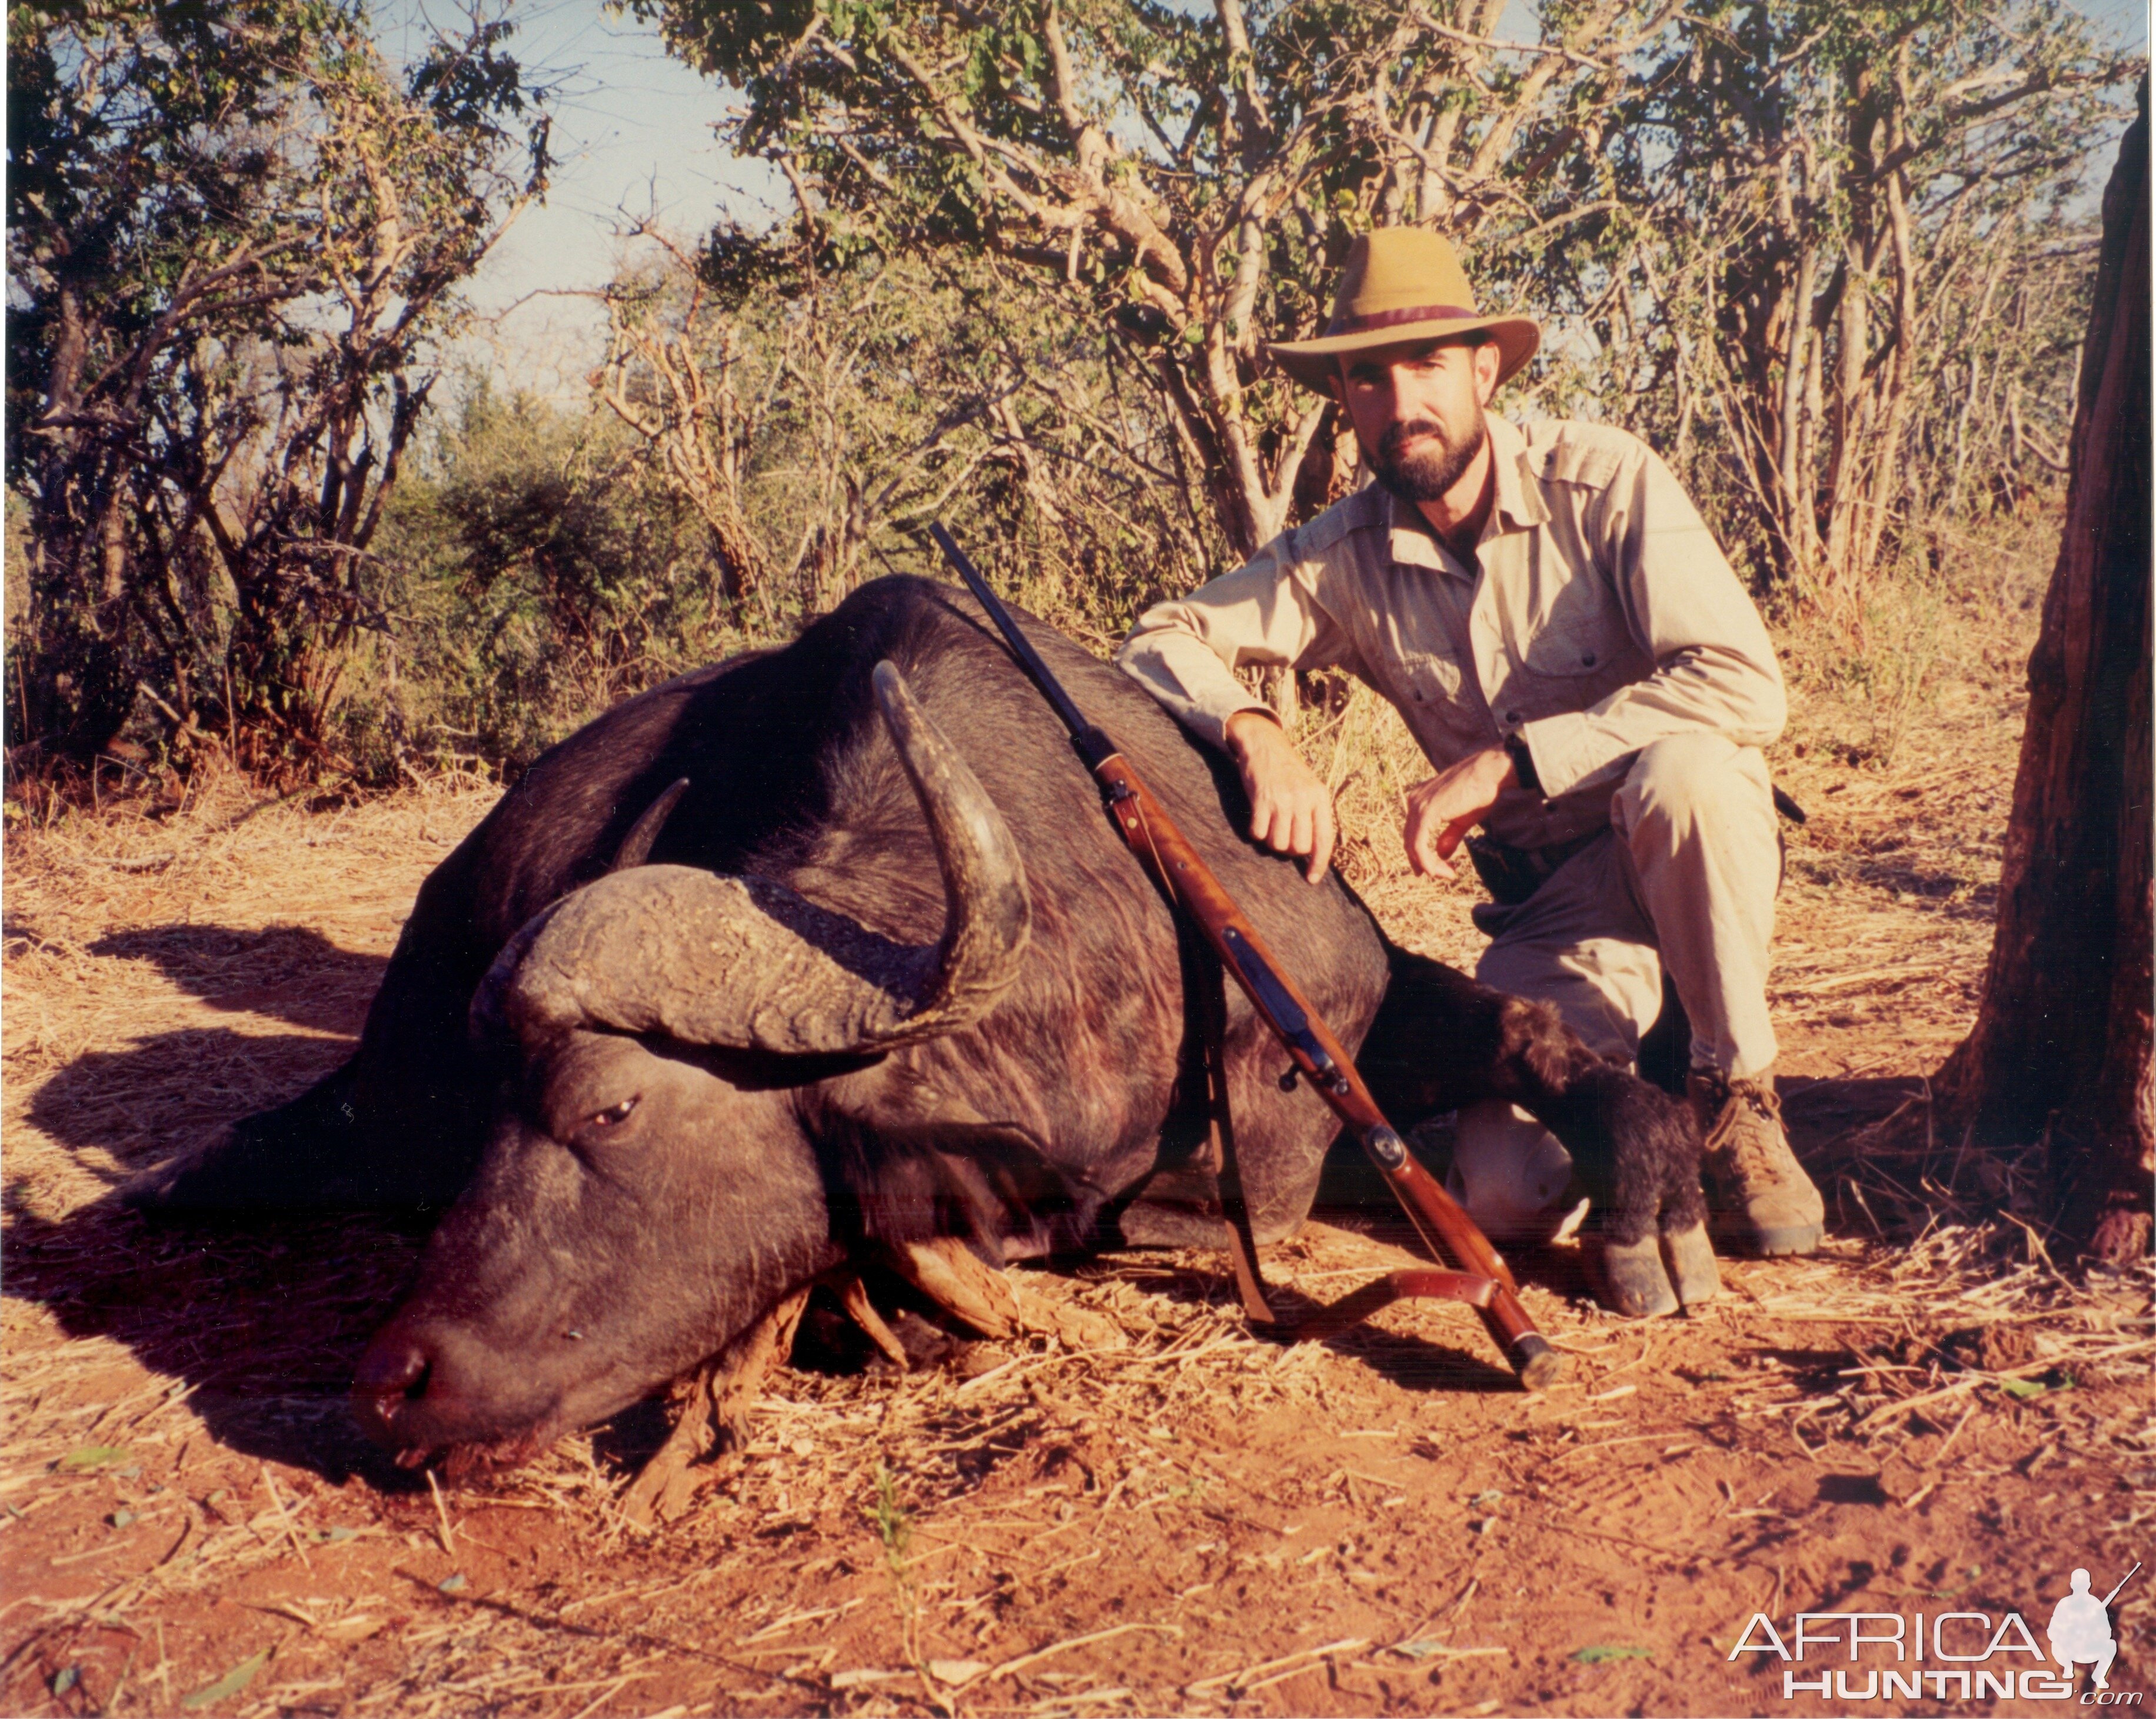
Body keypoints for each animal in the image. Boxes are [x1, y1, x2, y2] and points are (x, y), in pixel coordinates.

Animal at [135, 578, 1716, 1458]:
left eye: (609, 1106)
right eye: (502, 1116)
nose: (392, 1385)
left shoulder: (1360, 1002)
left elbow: (1540, 1044)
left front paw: (1653, 1199)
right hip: (386, 1089)